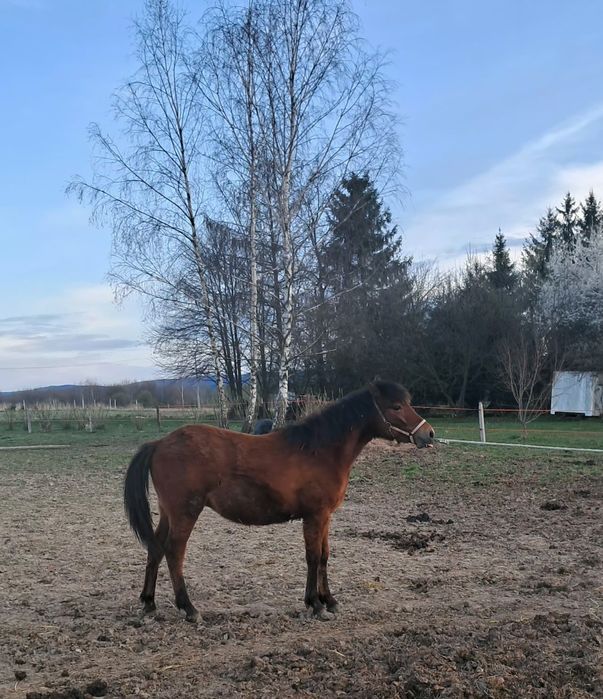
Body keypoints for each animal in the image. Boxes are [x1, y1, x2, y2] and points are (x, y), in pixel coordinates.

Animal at [123, 380, 435, 622]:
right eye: (396, 406)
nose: (428, 433)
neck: (319, 450)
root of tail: (159, 444)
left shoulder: (326, 517)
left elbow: (324, 556)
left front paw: (329, 600)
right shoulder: (315, 516)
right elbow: (312, 557)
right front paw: (316, 604)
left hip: (168, 513)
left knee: (155, 549)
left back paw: (149, 603)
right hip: (185, 513)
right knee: (174, 552)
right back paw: (189, 609)